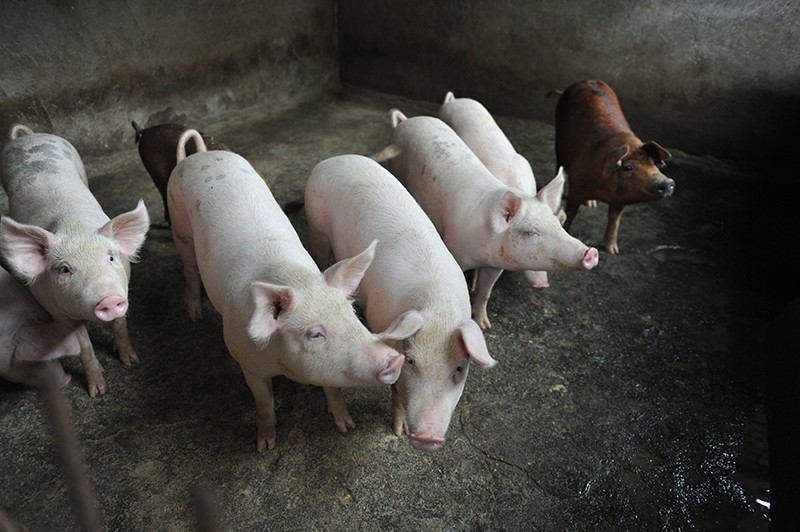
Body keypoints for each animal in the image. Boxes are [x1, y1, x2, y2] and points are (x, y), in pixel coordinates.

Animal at [0, 124, 150, 396]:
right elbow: (83, 345)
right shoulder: (57, 311)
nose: (108, 299)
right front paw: (98, 391)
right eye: (65, 269)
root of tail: (29, 136)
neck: (75, 227)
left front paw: (131, 361)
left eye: (111, 257)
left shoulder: (123, 286)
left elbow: (120, 326)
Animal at [167, 130, 406, 452]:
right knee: (189, 268)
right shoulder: (247, 362)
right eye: (315, 334)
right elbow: (264, 402)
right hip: (179, 226)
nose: (395, 359)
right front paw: (264, 446)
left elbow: (333, 389)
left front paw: (346, 426)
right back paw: (194, 315)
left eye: (352, 314)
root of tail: (199, 155)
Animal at [305, 154, 496, 452]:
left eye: (459, 368)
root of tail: (331, 160)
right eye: (411, 361)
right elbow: (395, 389)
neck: (438, 307)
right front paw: (398, 431)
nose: (427, 438)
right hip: (316, 226)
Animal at [374, 112, 599, 329]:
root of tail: (407, 121)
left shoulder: (496, 264)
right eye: (530, 232)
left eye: (558, 225)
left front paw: (485, 325)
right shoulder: (456, 248)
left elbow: (486, 292)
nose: (591, 252)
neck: (483, 247)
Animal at [552, 79, 675, 254]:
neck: (603, 190)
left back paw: (591, 205)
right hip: (558, 138)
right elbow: (570, 214)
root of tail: (585, 81)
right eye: (628, 167)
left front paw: (613, 251)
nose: (668, 182)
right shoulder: (576, 187)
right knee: (558, 162)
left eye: (654, 163)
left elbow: (614, 220)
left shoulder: (620, 200)